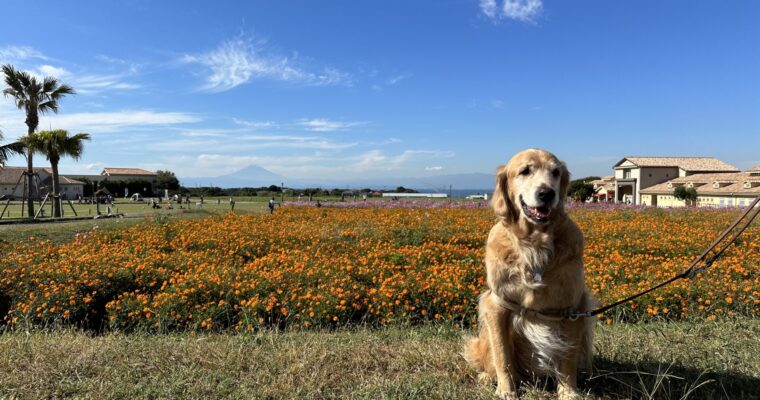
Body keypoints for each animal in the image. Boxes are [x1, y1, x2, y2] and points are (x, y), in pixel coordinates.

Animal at [464, 149, 592, 400]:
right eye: (525, 171)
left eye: (556, 172)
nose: (547, 193)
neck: (534, 245)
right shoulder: (497, 304)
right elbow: (502, 356)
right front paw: (506, 391)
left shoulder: (573, 308)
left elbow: (568, 361)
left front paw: (568, 392)